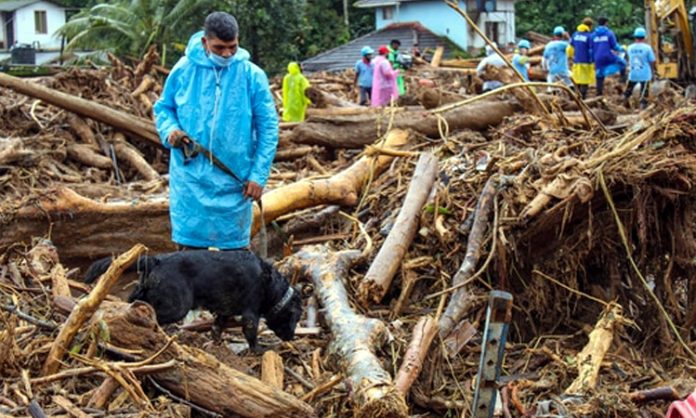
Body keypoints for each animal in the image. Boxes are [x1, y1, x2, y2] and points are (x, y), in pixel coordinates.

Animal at [83, 250, 300, 352]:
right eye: (295, 319)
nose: (291, 337)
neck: (271, 286)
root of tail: (155, 260)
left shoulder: (224, 311)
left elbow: (216, 327)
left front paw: (216, 343)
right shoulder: (250, 314)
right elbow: (251, 335)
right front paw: (258, 350)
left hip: (145, 290)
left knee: (134, 300)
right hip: (177, 306)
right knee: (153, 314)